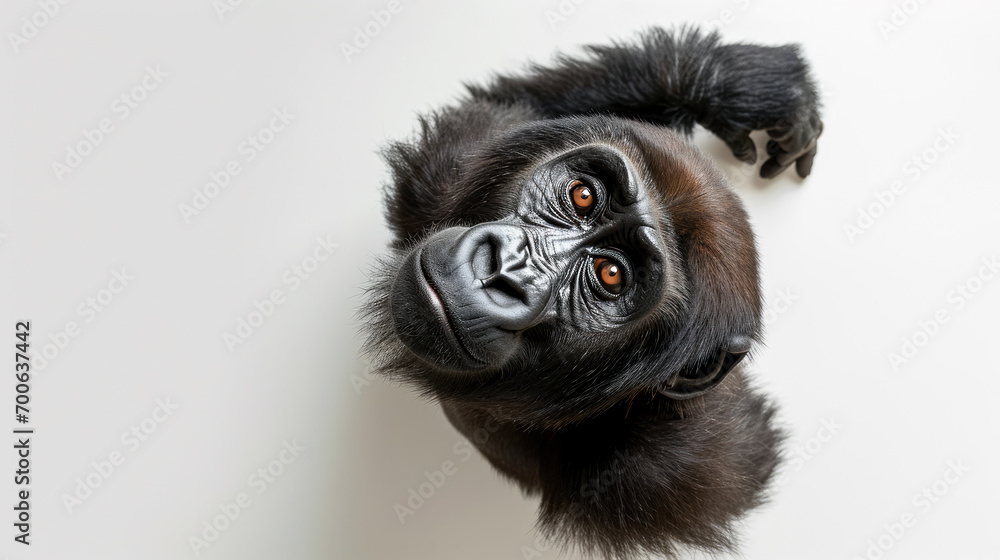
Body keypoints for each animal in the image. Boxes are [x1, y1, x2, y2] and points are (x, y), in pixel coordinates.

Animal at [360, 27, 821, 559]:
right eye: (583, 196)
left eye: (610, 275)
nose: (505, 271)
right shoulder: (451, 165)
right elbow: (509, 101)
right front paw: (744, 85)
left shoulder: (676, 476)